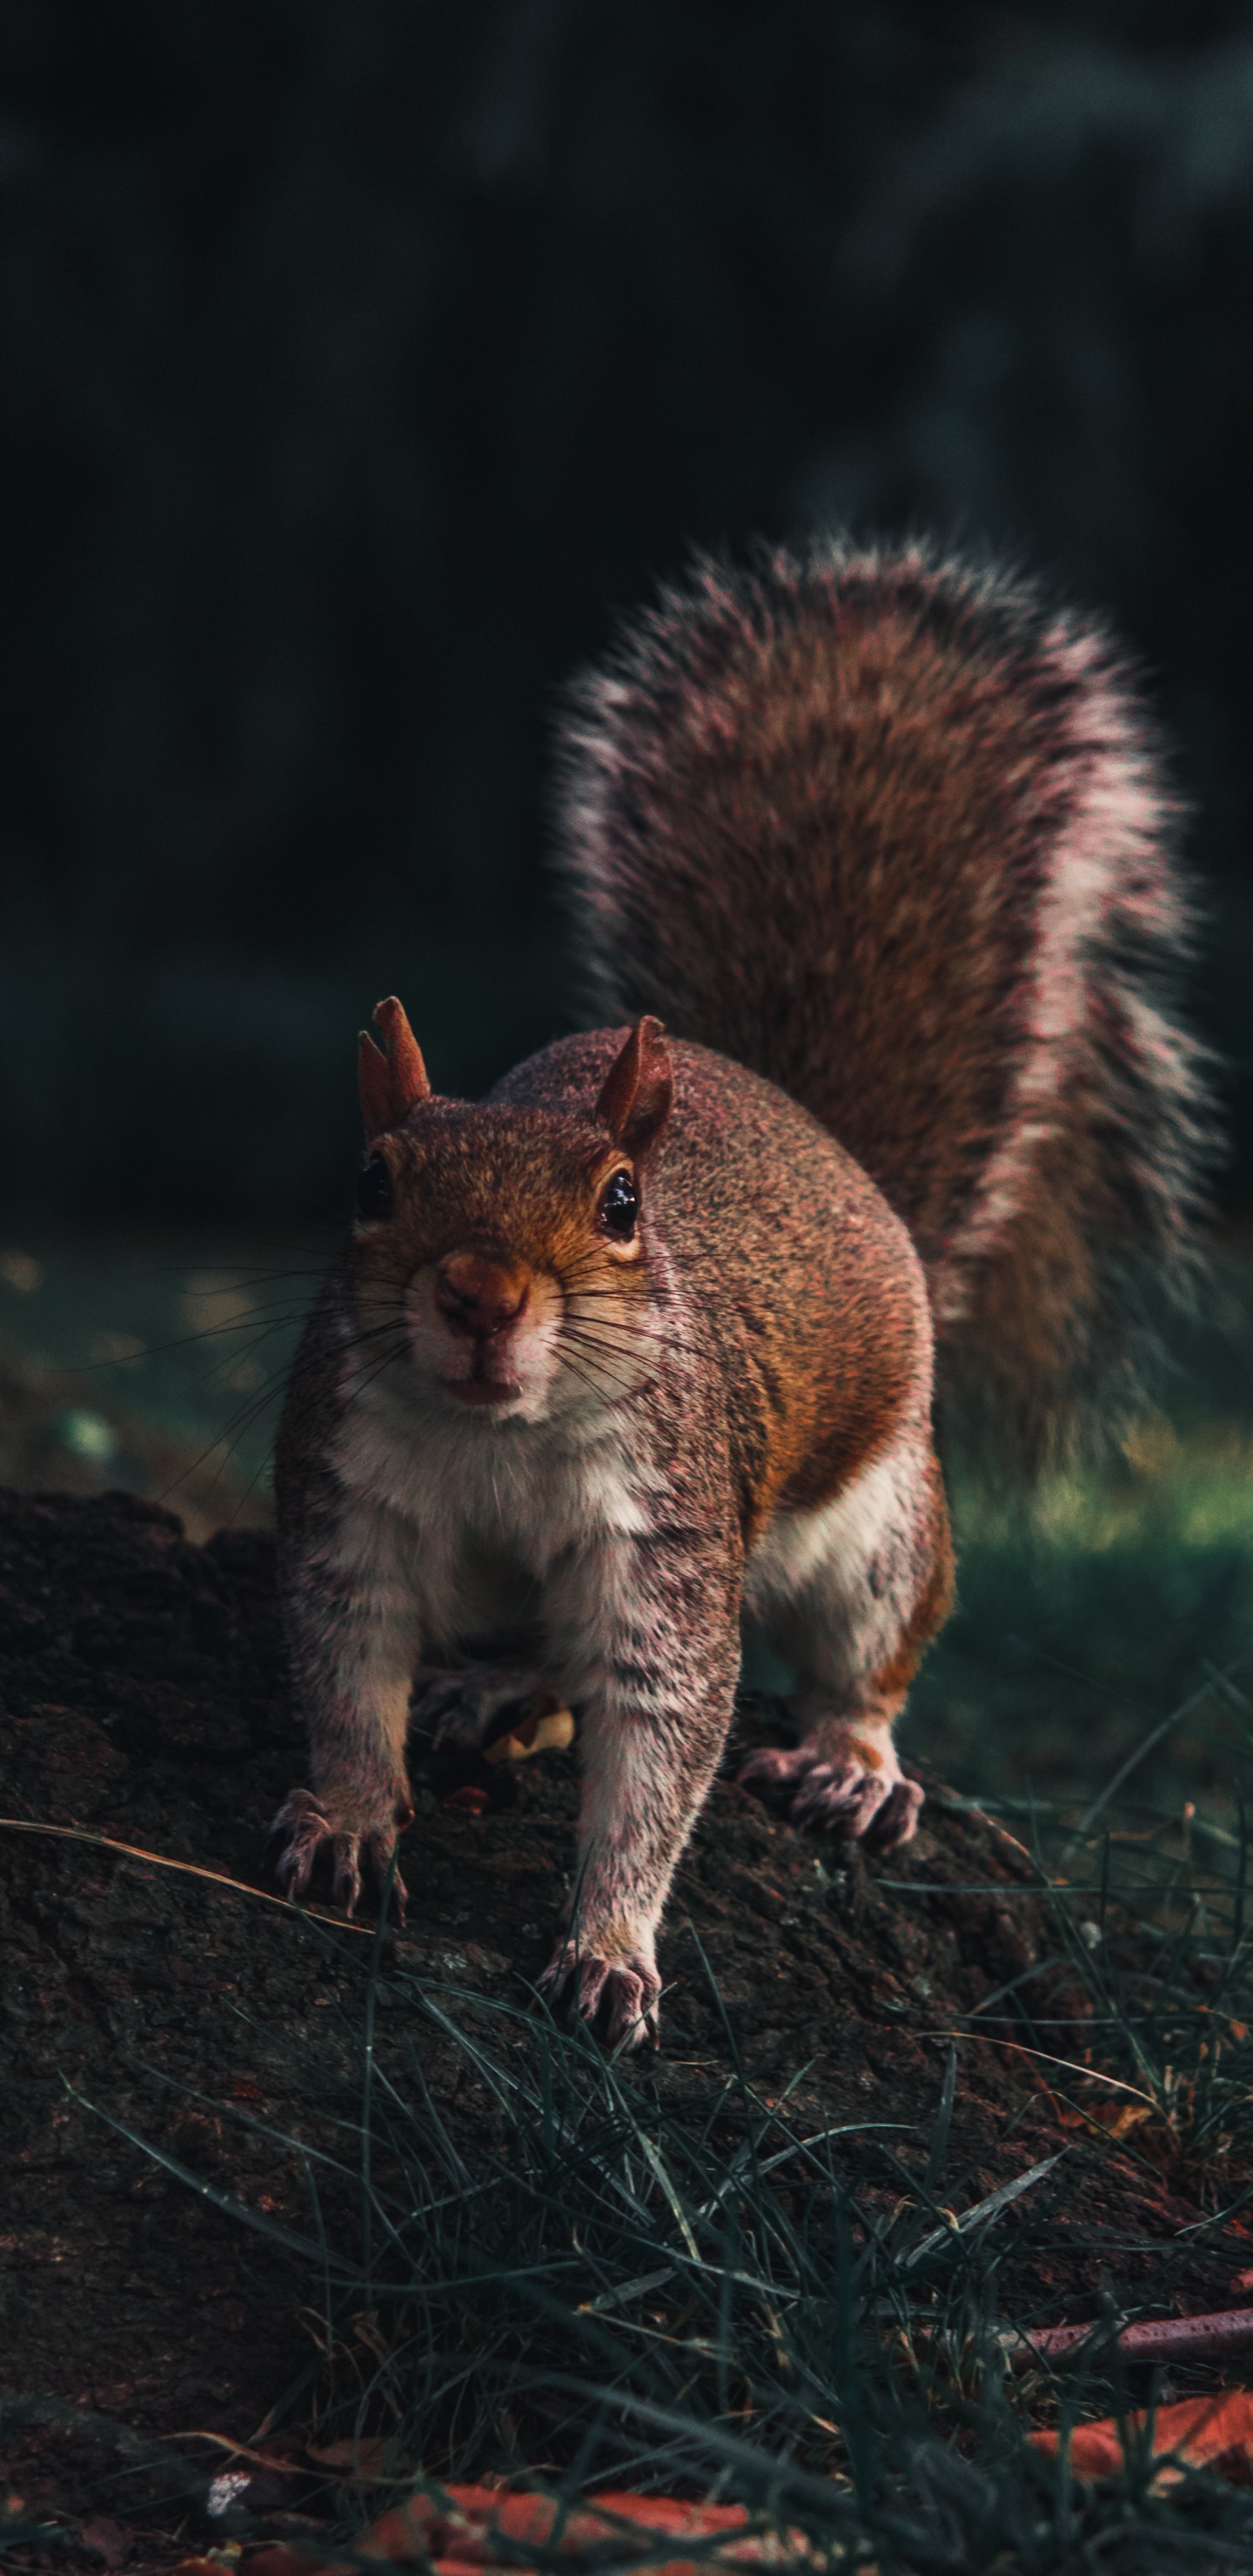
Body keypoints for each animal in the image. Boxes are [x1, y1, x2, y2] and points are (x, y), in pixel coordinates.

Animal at [271, 536, 1214, 2047]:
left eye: (620, 1205)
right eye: (371, 1180)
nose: (477, 1292)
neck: (498, 1436)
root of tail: (837, 1159)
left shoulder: (671, 1538)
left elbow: (664, 1743)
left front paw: (610, 1945)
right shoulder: (345, 1496)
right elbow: (347, 1671)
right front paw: (353, 1820)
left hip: (883, 1525)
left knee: (868, 1654)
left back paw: (851, 1763)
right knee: (538, 1659)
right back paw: (500, 1684)